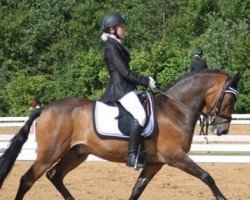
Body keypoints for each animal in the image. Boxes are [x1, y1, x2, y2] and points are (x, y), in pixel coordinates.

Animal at [0, 69, 242, 199]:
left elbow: (137, 189)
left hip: (77, 153)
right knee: (27, 179)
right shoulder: (176, 157)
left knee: (54, 176)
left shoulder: (155, 163)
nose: (222, 130)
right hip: (50, 153)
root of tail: (45, 108)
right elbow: (206, 176)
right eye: (230, 99)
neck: (175, 109)